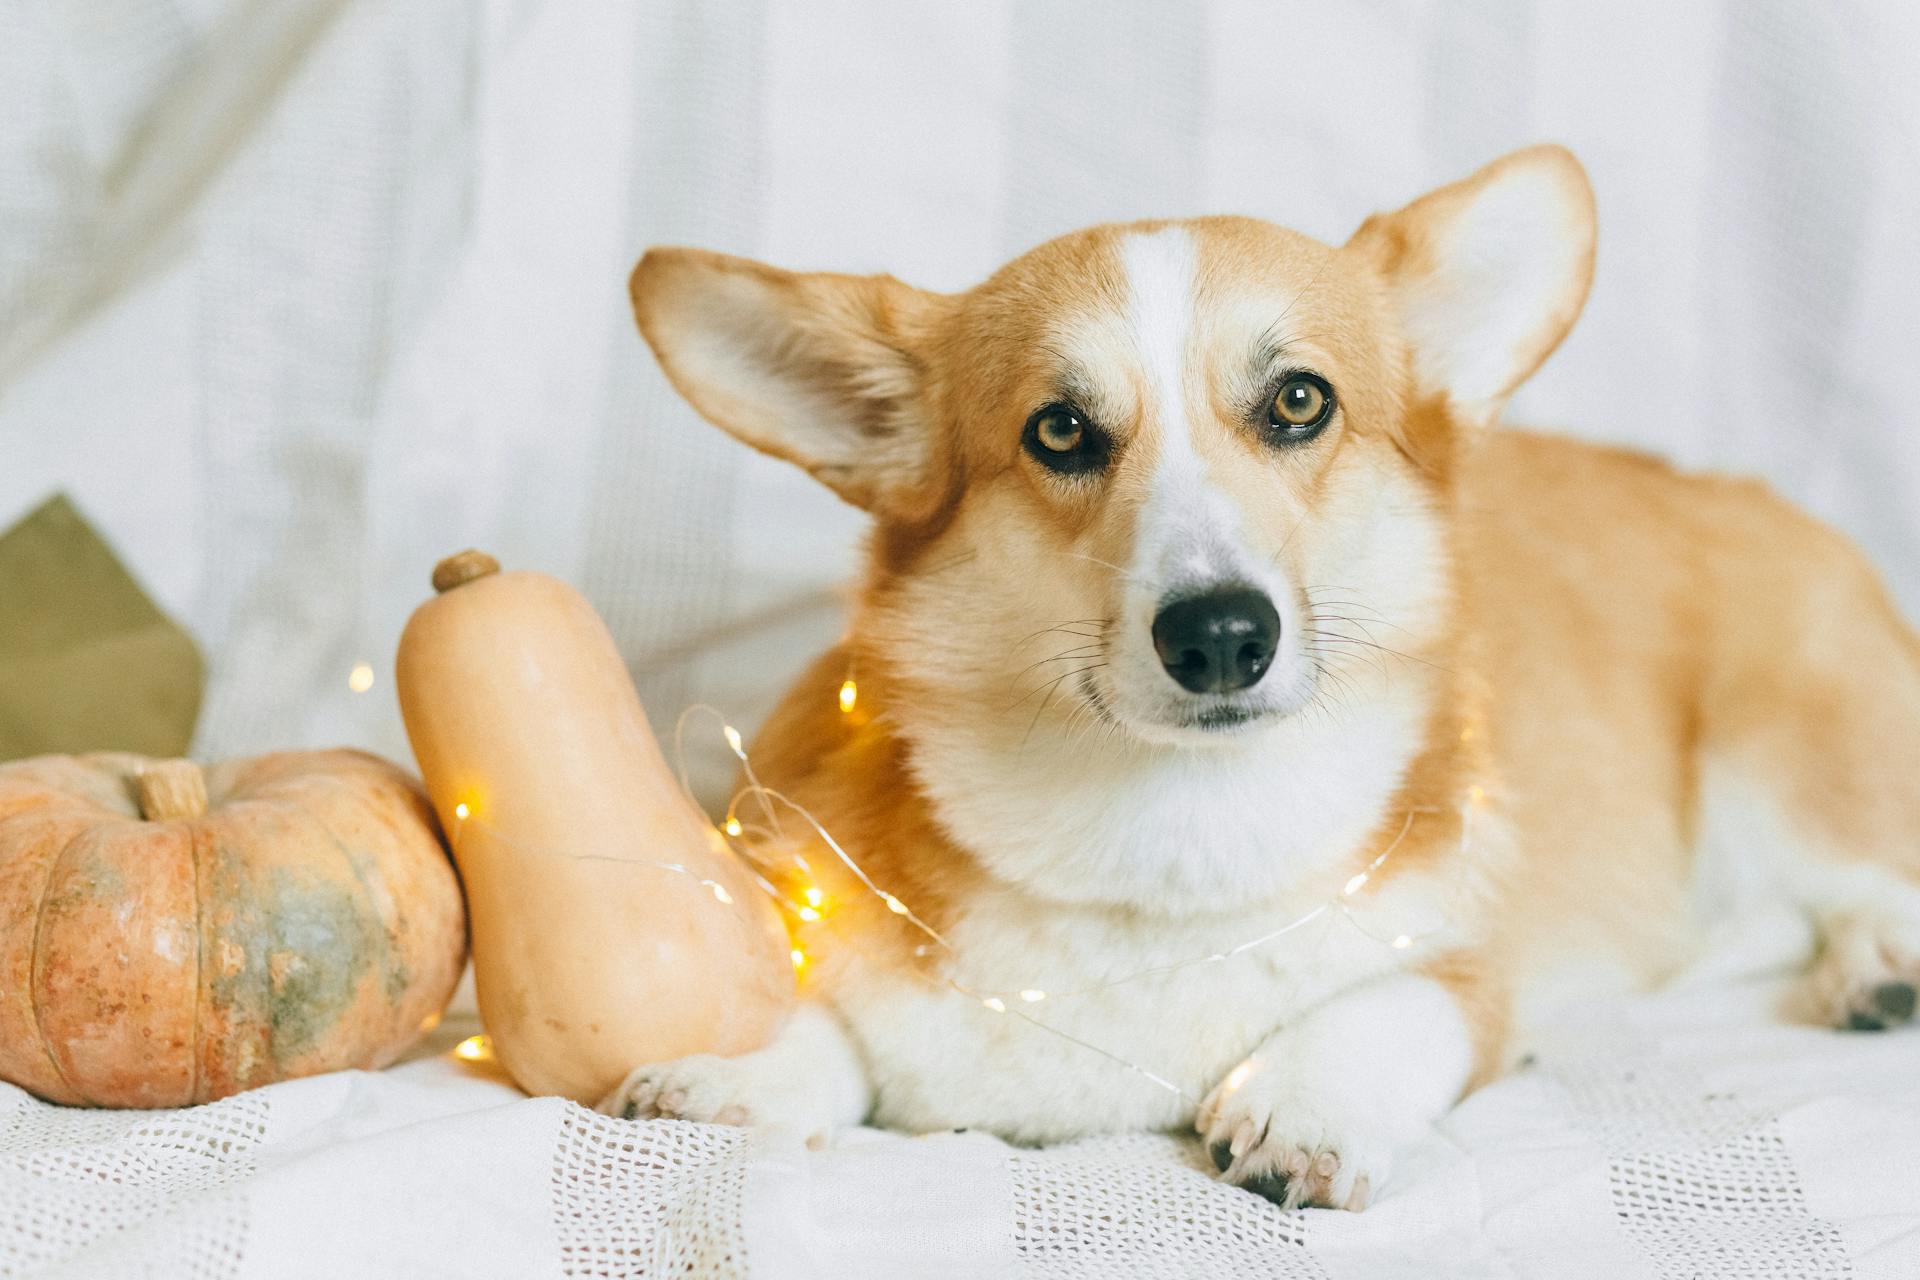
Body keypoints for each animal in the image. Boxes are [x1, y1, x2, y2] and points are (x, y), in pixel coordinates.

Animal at [591, 147, 1912, 1212]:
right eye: (1059, 430)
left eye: (1299, 400)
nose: (1222, 634)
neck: (1165, 840)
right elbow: (832, 1024)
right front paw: (745, 1076)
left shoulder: (1469, 978)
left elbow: (1391, 1006)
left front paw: (1307, 1103)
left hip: (1778, 765)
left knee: (1870, 872)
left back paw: (1877, 965)